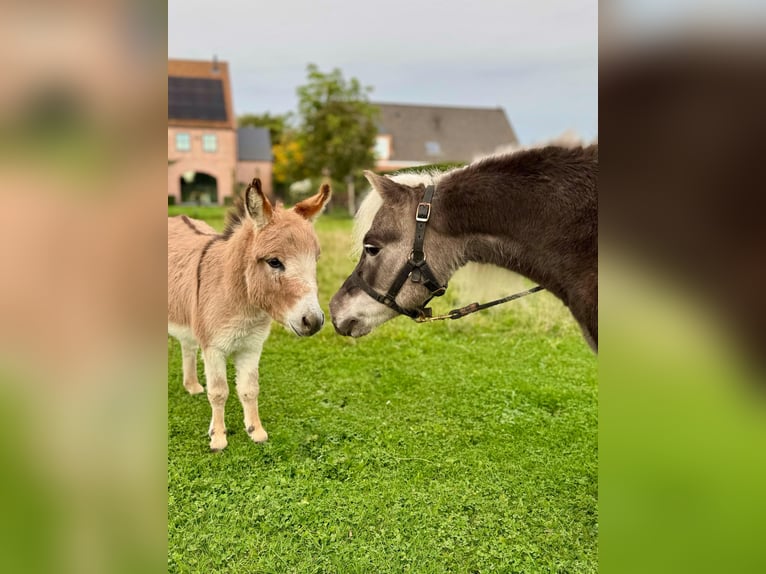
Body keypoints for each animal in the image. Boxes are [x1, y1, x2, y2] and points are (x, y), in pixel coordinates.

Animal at [170, 178, 332, 452]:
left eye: (315, 260)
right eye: (274, 262)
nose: (313, 321)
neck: (244, 306)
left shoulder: (251, 347)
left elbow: (249, 389)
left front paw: (256, 431)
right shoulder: (213, 348)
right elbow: (219, 392)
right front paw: (218, 438)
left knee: (188, 346)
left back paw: (191, 386)